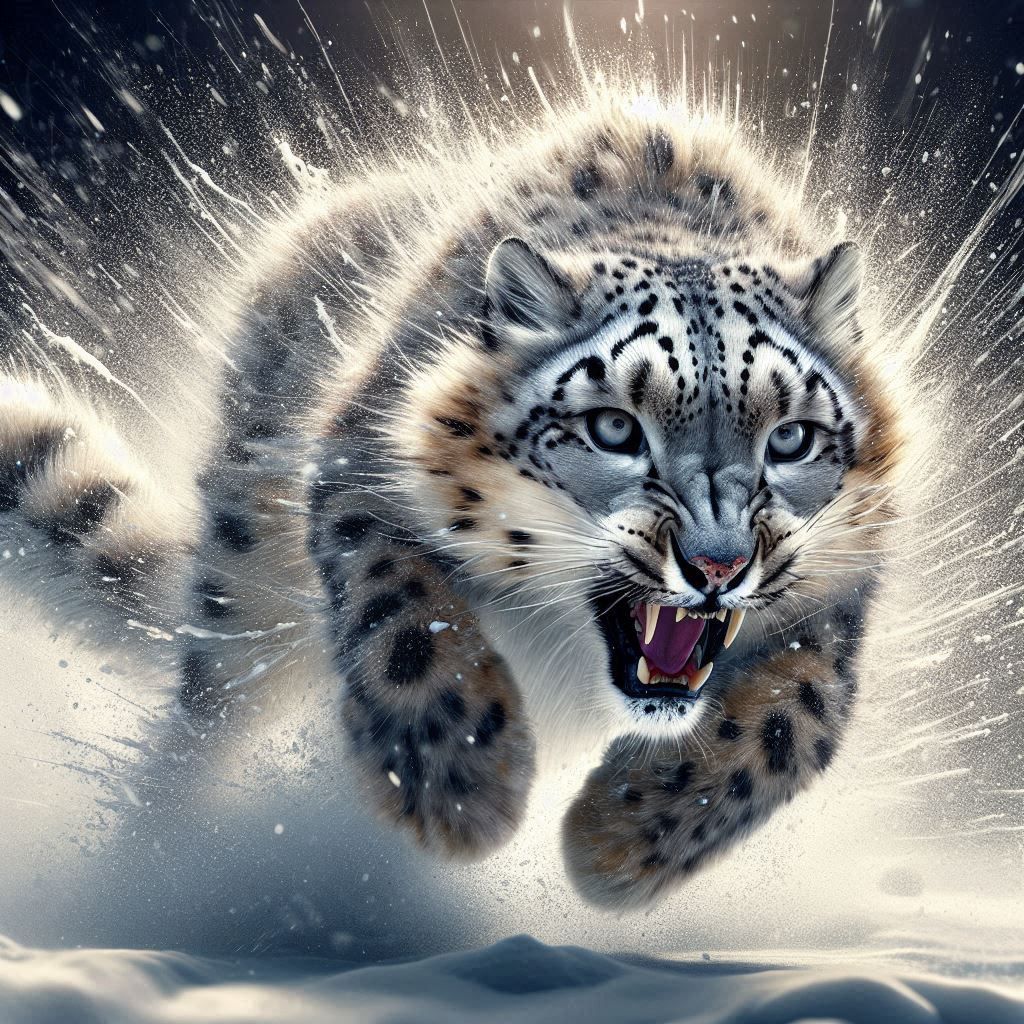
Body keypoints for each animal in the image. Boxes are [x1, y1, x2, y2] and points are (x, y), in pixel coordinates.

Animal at [0, 101, 904, 910]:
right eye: (615, 426)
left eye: (790, 438)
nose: (719, 565)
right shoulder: (355, 473)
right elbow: (403, 621)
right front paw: (459, 788)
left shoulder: (840, 596)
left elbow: (801, 720)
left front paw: (616, 844)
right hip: (243, 583)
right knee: (203, 721)